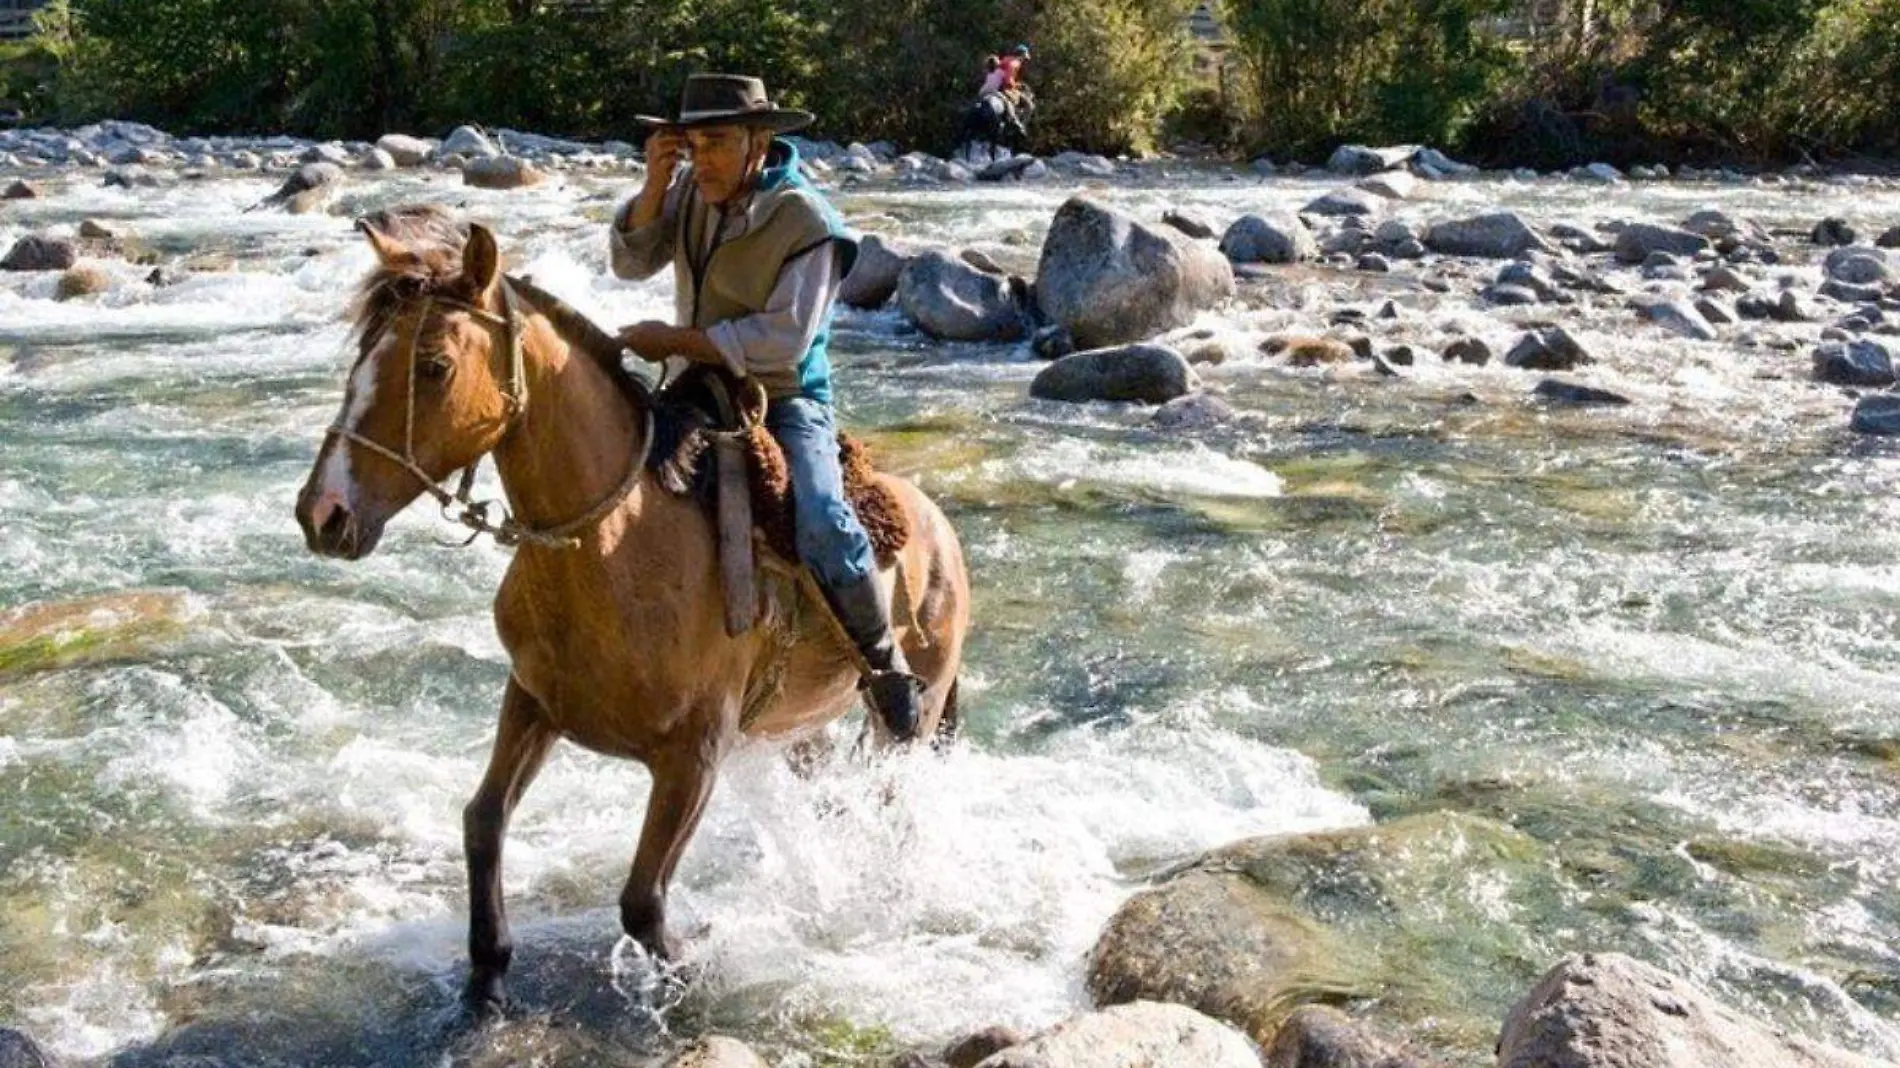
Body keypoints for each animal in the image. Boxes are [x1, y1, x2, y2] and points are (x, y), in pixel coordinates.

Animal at [288, 211, 972, 1010]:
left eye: (433, 365)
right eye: (363, 356)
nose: (323, 514)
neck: (617, 549)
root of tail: (939, 527)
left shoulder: (693, 756)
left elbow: (642, 900)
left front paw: (686, 981)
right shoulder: (533, 701)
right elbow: (483, 821)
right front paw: (487, 974)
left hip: (913, 714)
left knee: (894, 802)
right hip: (799, 732)